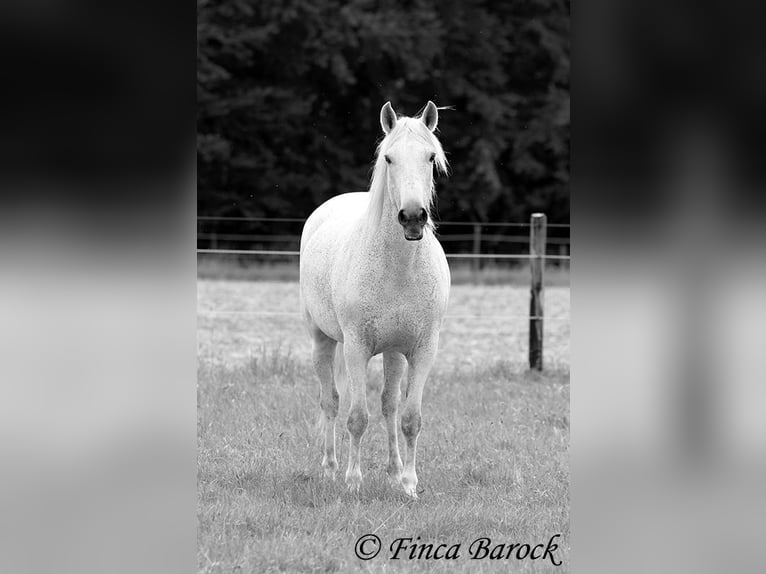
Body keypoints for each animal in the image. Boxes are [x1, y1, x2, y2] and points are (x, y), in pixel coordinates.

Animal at [300, 101, 452, 498]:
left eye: (431, 157)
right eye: (388, 158)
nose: (412, 217)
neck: (398, 269)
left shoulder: (423, 350)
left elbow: (409, 418)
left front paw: (409, 484)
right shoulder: (356, 347)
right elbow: (356, 417)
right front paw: (353, 483)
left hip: (394, 353)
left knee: (389, 407)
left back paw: (394, 472)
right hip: (322, 340)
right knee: (331, 402)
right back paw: (330, 469)